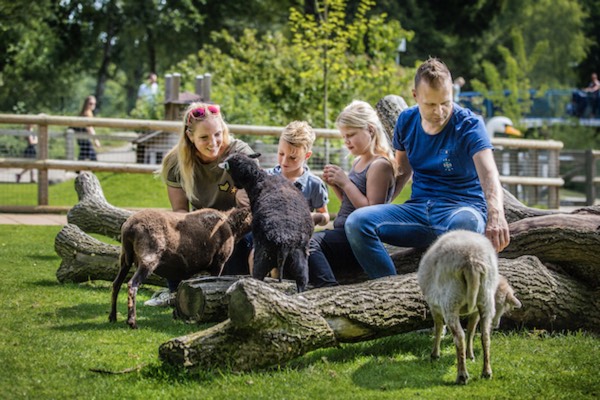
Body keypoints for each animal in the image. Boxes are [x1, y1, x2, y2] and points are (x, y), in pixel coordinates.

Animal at [109, 205, 251, 330]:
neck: (233, 229)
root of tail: (128, 228)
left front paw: (177, 314)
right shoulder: (218, 262)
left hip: (125, 257)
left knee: (116, 283)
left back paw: (112, 317)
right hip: (148, 257)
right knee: (132, 284)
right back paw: (132, 322)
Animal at [220, 152, 314, 290]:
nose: (236, 186)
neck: (260, 178)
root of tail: (284, 243)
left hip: (263, 257)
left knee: (257, 277)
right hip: (299, 259)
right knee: (302, 280)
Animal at [418, 231, 520, 384]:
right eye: (501, 307)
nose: (496, 324)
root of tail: (472, 262)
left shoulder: (434, 307)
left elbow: (438, 328)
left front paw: (435, 354)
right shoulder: (476, 311)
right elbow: (471, 331)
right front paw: (470, 354)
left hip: (451, 301)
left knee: (459, 336)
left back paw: (462, 375)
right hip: (485, 299)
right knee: (485, 336)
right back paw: (486, 372)